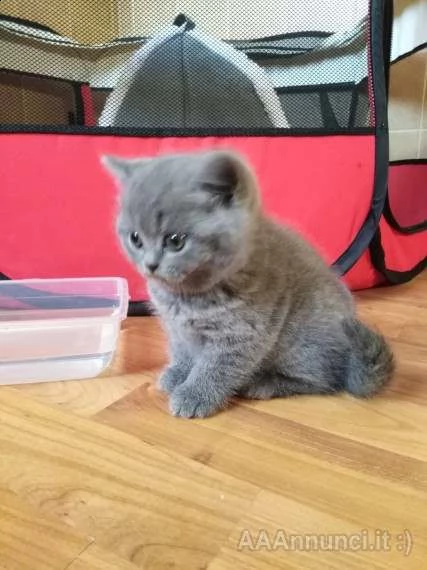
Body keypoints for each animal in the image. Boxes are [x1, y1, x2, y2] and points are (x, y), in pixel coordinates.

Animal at [103, 151, 394, 418]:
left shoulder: (241, 333)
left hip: (301, 343)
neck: (186, 294)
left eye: (176, 241)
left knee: (325, 378)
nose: (150, 265)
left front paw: (193, 395)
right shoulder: (175, 327)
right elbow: (182, 351)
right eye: (135, 238)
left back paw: (263, 383)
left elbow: (215, 368)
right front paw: (178, 373)